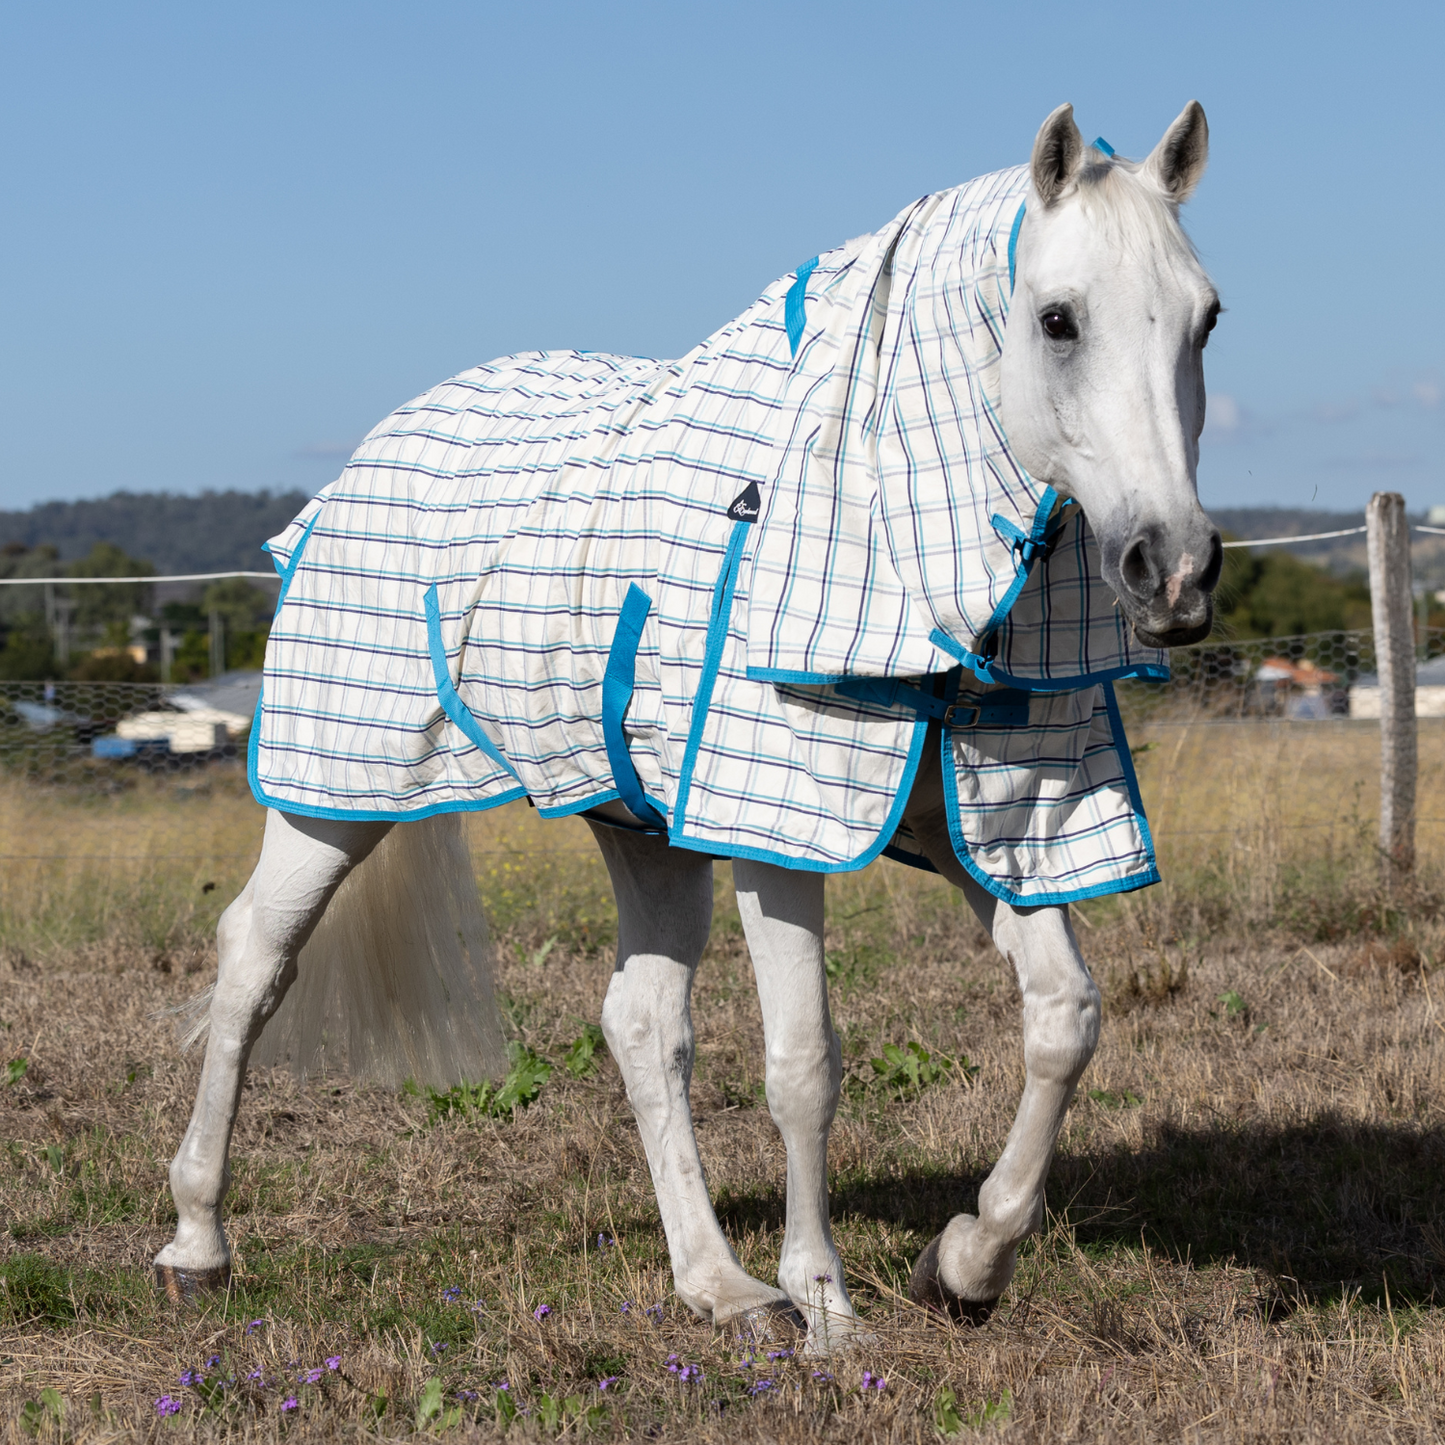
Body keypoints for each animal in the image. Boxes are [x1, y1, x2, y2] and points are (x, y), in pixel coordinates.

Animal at [155, 104, 1219, 1352]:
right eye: (1057, 318)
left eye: (1204, 317)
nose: (1172, 570)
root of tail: (376, 448)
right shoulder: (778, 834)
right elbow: (805, 1061)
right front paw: (828, 1305)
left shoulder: (982, 828)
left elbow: (1063, 1018)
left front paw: (963, 1263)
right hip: (337, 789)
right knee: (252, 966)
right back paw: (196, 1242)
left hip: (638, 822)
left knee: (639, 1022)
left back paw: (716, 1282)